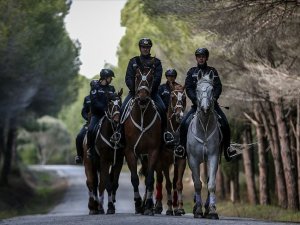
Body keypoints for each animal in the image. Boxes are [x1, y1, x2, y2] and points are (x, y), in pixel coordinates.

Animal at [122, 62, 162, 215]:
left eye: (151, 78)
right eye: (137, 76)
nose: (143, 98)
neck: (142, 115)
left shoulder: (153, 151)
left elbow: (150, 179)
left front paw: (148, 205)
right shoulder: (130, 152)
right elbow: (134, 178)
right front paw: (138, 204)